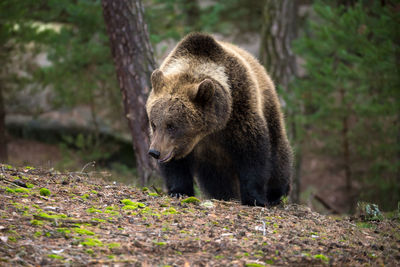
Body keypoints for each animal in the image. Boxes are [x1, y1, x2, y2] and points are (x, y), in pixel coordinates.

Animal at [145, 32, 292, 206]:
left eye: (172, 125)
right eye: (154, 124)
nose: (154, 152)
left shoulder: (239, 112)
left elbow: (253, 154)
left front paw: (254, 198)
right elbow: (176, 165)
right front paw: (178, 191)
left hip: (269, 106)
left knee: (278, 153)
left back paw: (276, 192)